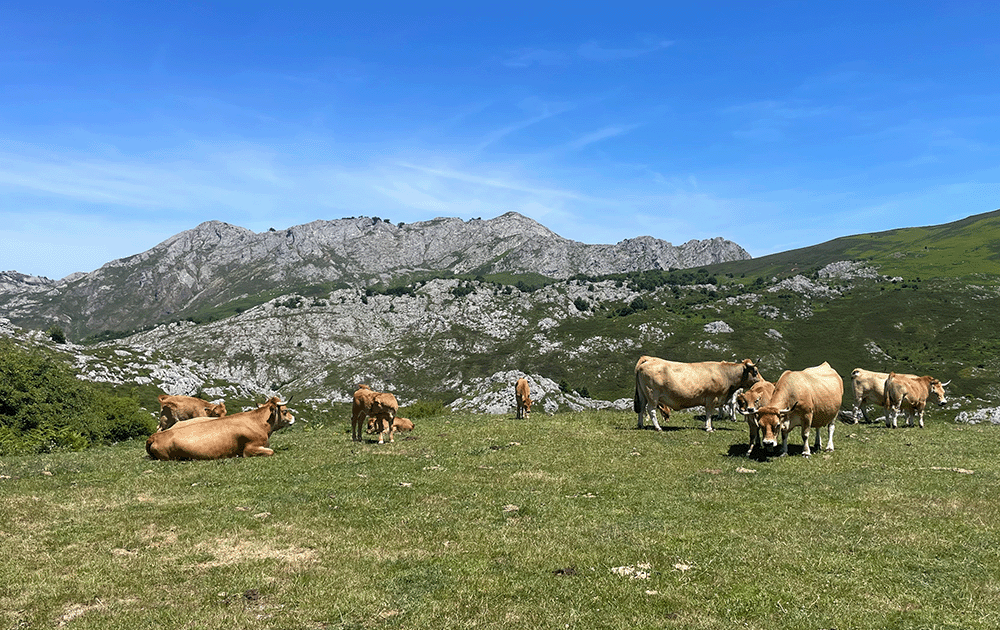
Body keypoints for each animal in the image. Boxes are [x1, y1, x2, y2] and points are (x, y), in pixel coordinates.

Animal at [145, 396, 294, 461]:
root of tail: (155, 436)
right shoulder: (250, 449)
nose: (293, 418)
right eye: (285, 411)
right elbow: (271, 451)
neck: (258, 422)